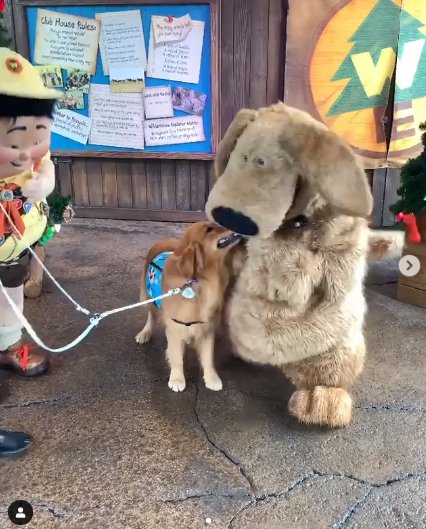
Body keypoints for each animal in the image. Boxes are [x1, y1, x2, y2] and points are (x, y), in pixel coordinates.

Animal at [135, 220, 241, 392]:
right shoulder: (175, 328)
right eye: (209, 229)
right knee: (151, 316)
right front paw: (177, 379)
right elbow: (177, 356)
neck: (201, 281)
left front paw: (211, 378)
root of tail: (161, 241)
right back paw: (144, 333)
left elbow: (208, 357)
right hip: (149, 297)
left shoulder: (207, 328)